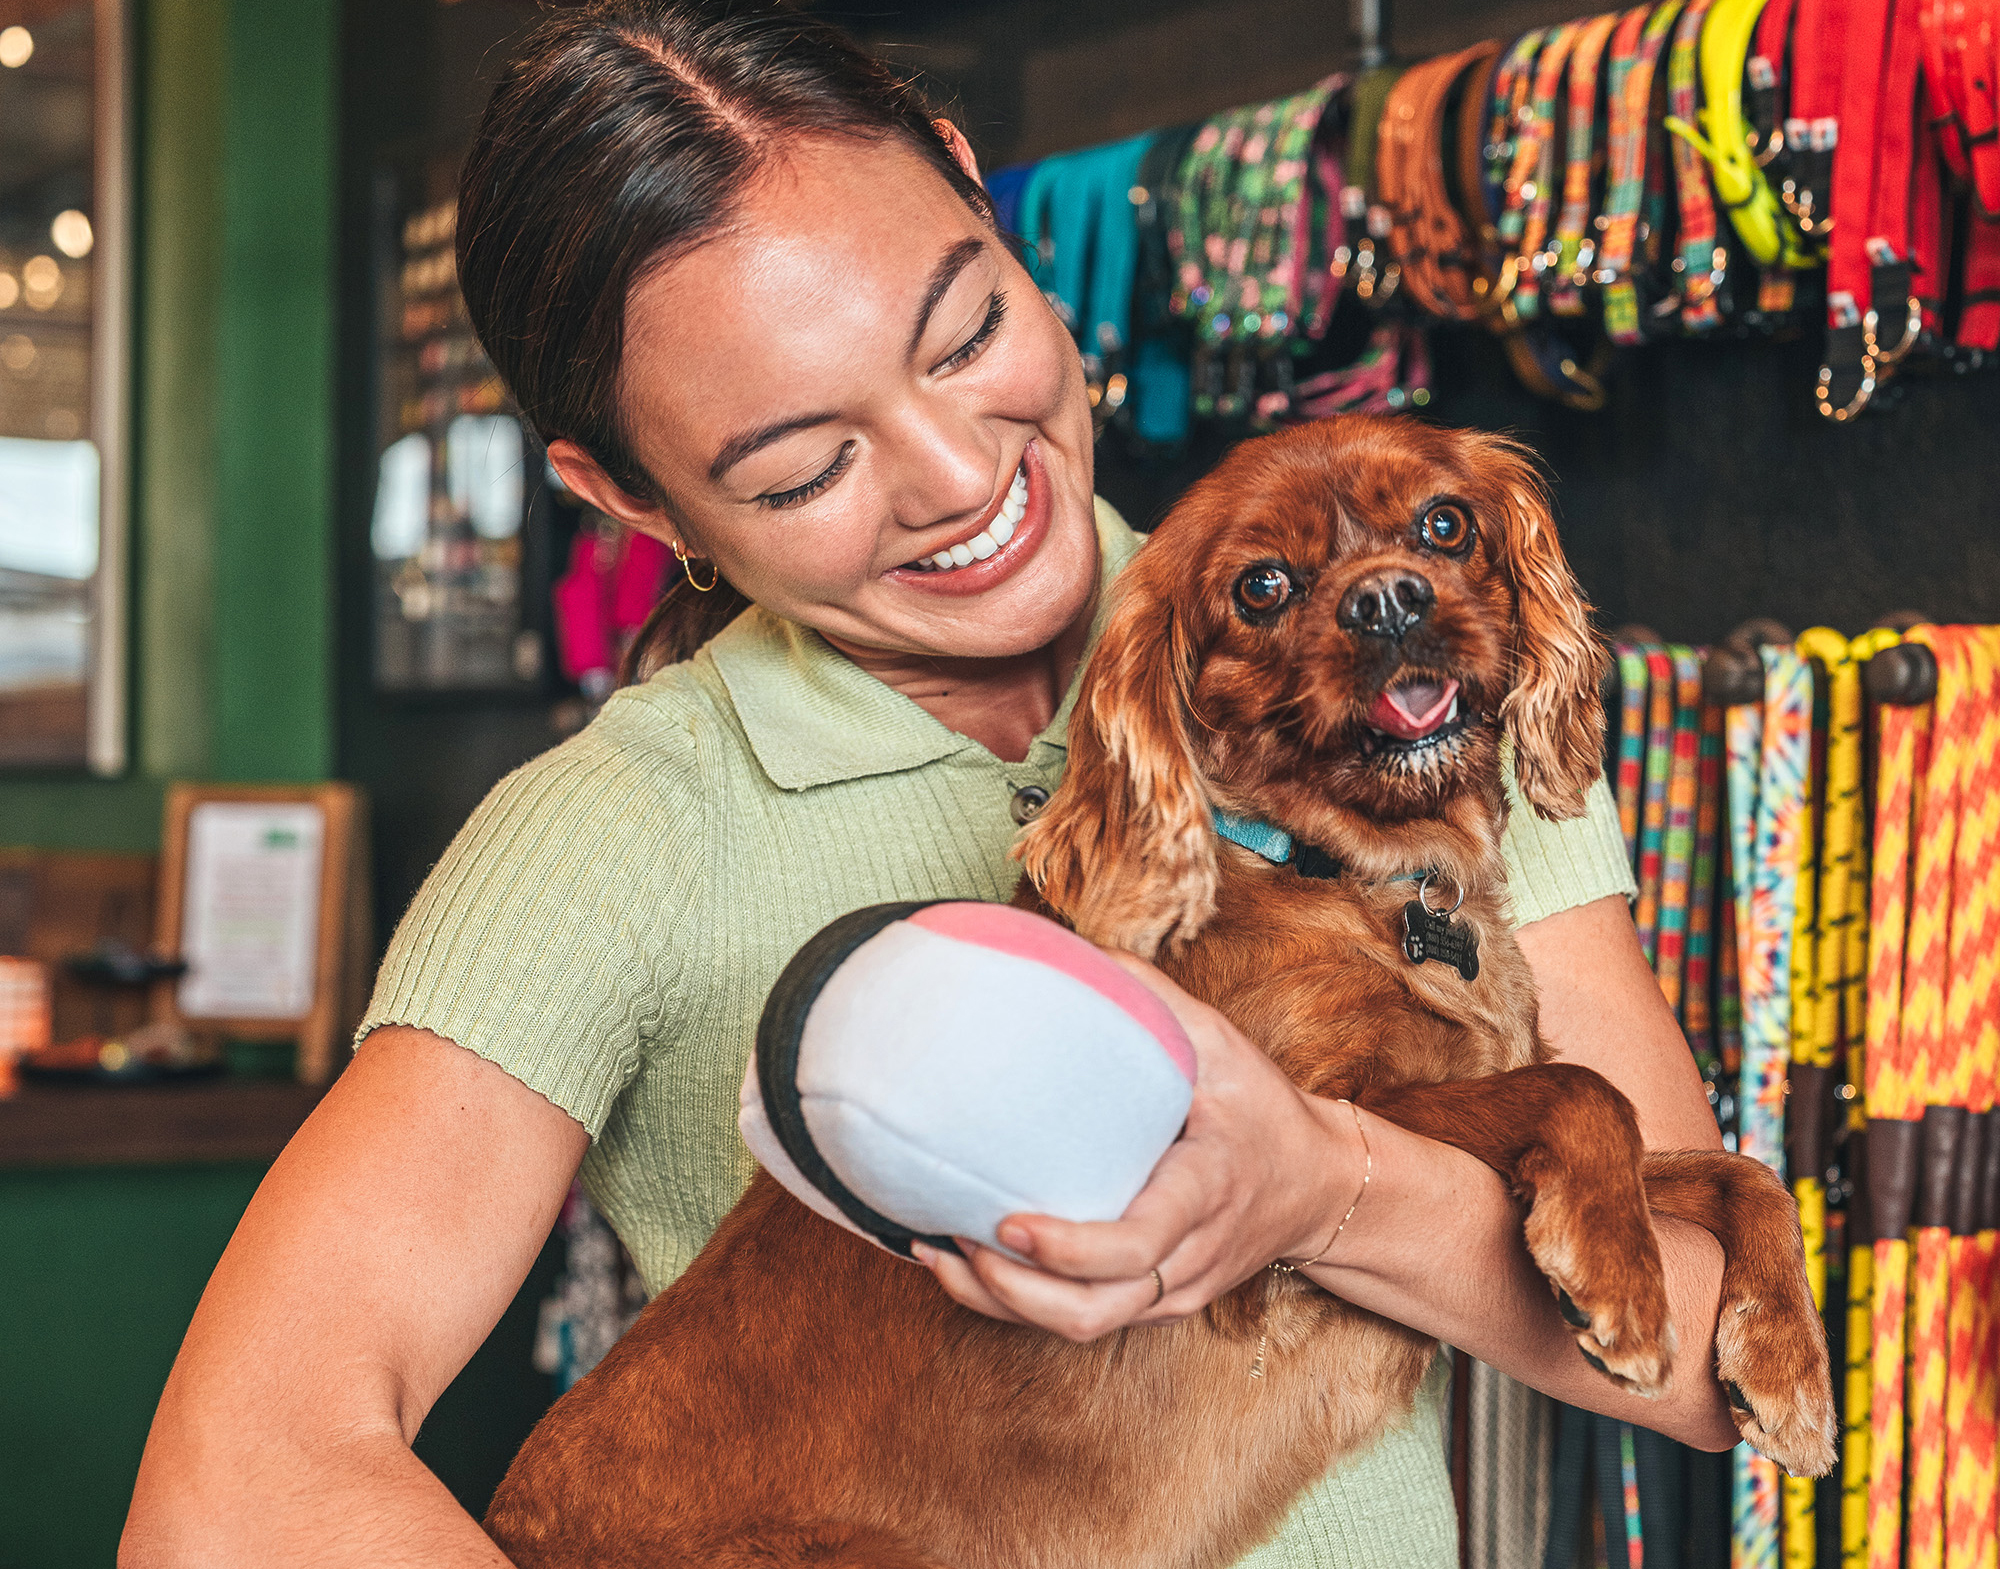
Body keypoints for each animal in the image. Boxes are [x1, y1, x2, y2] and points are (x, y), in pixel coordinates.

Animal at [480, 416, 1832, 1569]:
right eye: (1262, 587)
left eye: (1444, 524)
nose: (1388, 598)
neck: (1358, 876)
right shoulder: (1338, 1119)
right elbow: (1583, 1091)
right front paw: (1619, 1282)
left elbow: (1738, 1174)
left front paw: (1787, 1373)